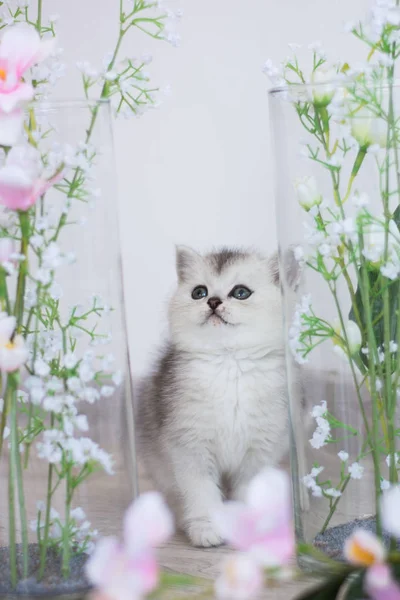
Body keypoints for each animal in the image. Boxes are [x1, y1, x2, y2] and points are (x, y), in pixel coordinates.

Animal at [138, 245, 296, 548]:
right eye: (199, 292)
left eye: (241, 292)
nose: (212, 301)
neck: (230, 364)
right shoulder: (190, 446)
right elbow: (201, 492)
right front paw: (206, 527)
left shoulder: (260, 450)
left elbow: (249, 491)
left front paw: (247, 527)